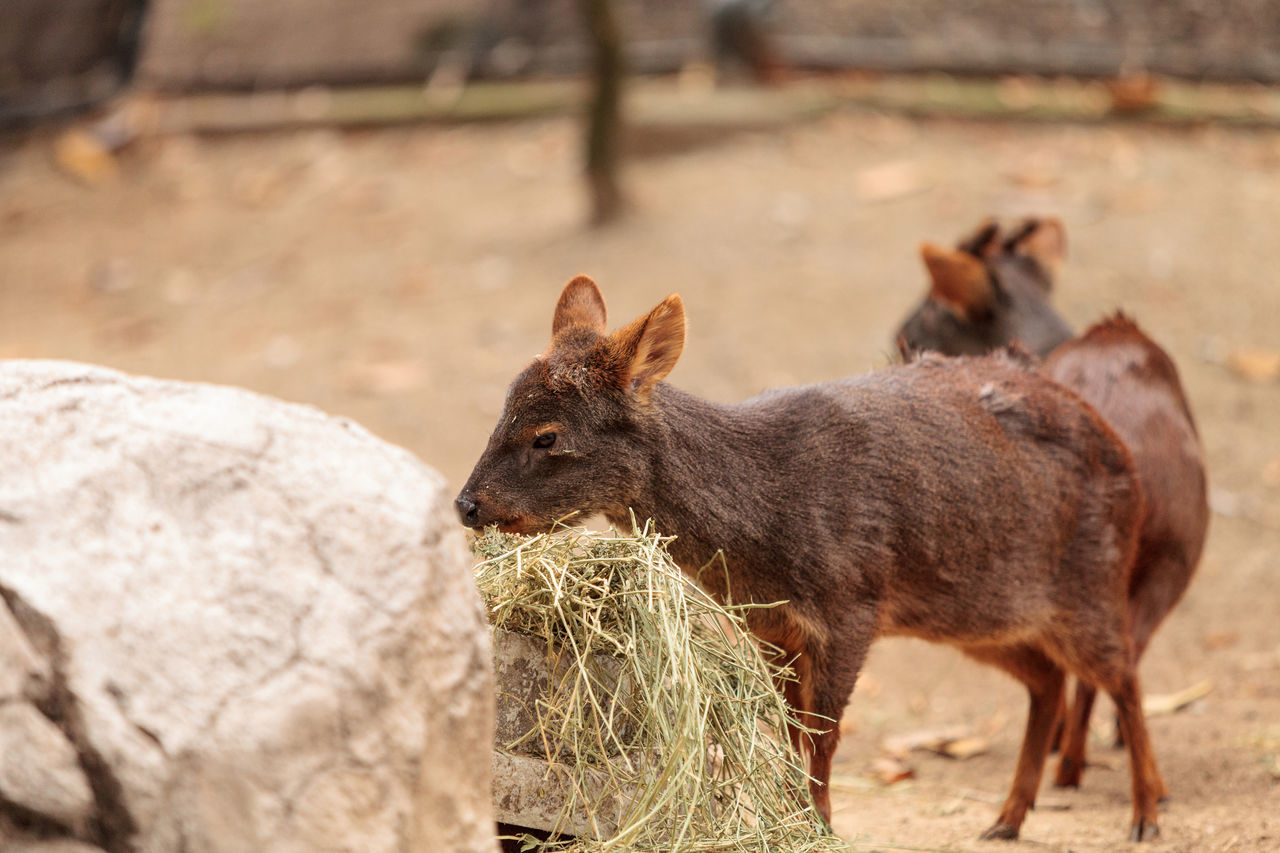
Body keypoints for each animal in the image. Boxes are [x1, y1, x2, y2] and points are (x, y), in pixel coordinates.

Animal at [460, 274, 1172, 835]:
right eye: (500, 413)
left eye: (546, 436)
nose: (467, 503)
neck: (765, 534)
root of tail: (1125, 458)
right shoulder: (772, 627)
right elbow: (791, 734)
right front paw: (795, 816)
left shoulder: (851, 605)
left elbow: (825, 739)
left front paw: (819, 825)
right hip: (980, 616)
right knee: (1049, 679)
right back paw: (1007, 818)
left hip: (1090, 584)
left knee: (1126, 676)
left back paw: (1146, 812)